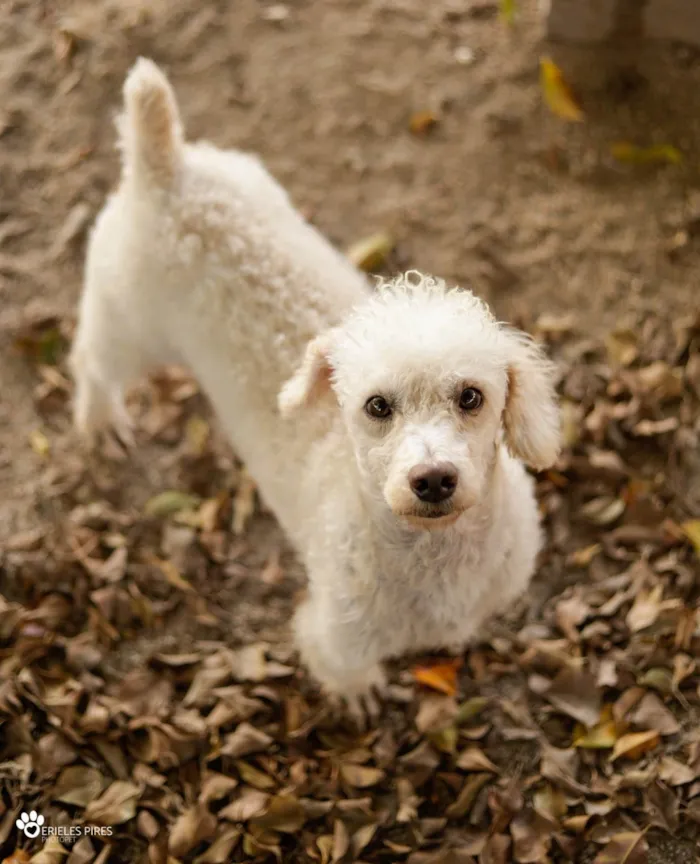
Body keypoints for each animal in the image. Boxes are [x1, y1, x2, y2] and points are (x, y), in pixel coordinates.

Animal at [69, 60, 564, 720]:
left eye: (471, 397)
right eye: (376, 406)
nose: (433, 479)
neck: (436, 554)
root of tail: (166, 169)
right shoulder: (333, 632)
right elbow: (345, 668)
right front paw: (360, 695)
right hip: (129, 327)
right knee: (91, 361)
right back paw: (100, 421)